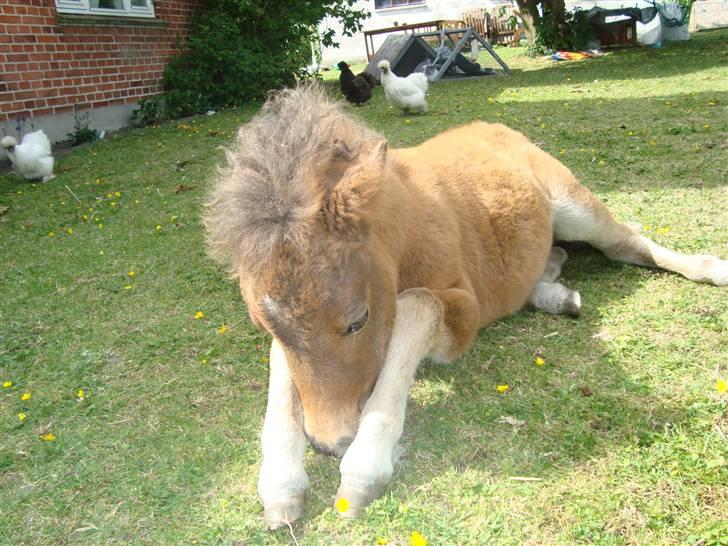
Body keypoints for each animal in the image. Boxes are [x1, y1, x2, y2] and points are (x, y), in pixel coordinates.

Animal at [205, 86, 728, 528]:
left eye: (358, 321)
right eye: (267, 326)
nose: (329, 441)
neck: (405, 230)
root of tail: (496, 129)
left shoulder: (463, 307)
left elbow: (417, 305)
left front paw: (363, 469)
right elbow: (282, 372)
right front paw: (280, 487)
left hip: (576, 207)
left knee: (628, 244)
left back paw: (709, 268)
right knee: (554, 260)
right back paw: (557, 291)